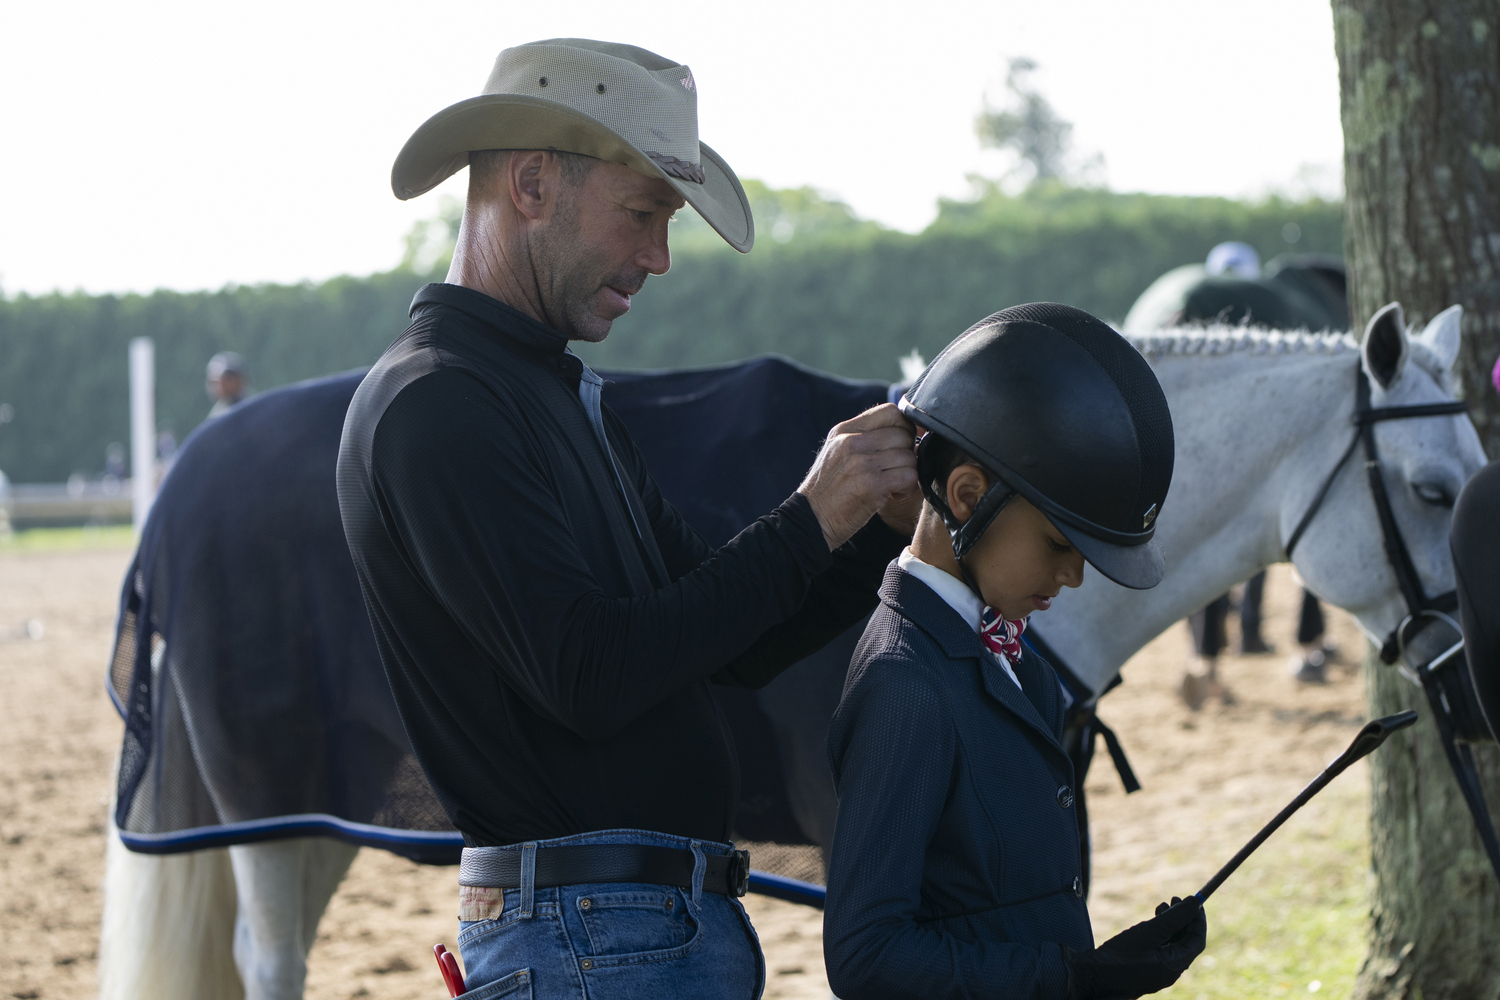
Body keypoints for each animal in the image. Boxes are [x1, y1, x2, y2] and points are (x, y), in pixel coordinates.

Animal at [99, 302, 1482, 1000]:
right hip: (269, 815)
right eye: (1428, 488)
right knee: (269, 963)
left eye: (1475, 473)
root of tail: (181, 485)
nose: (1469, 684)